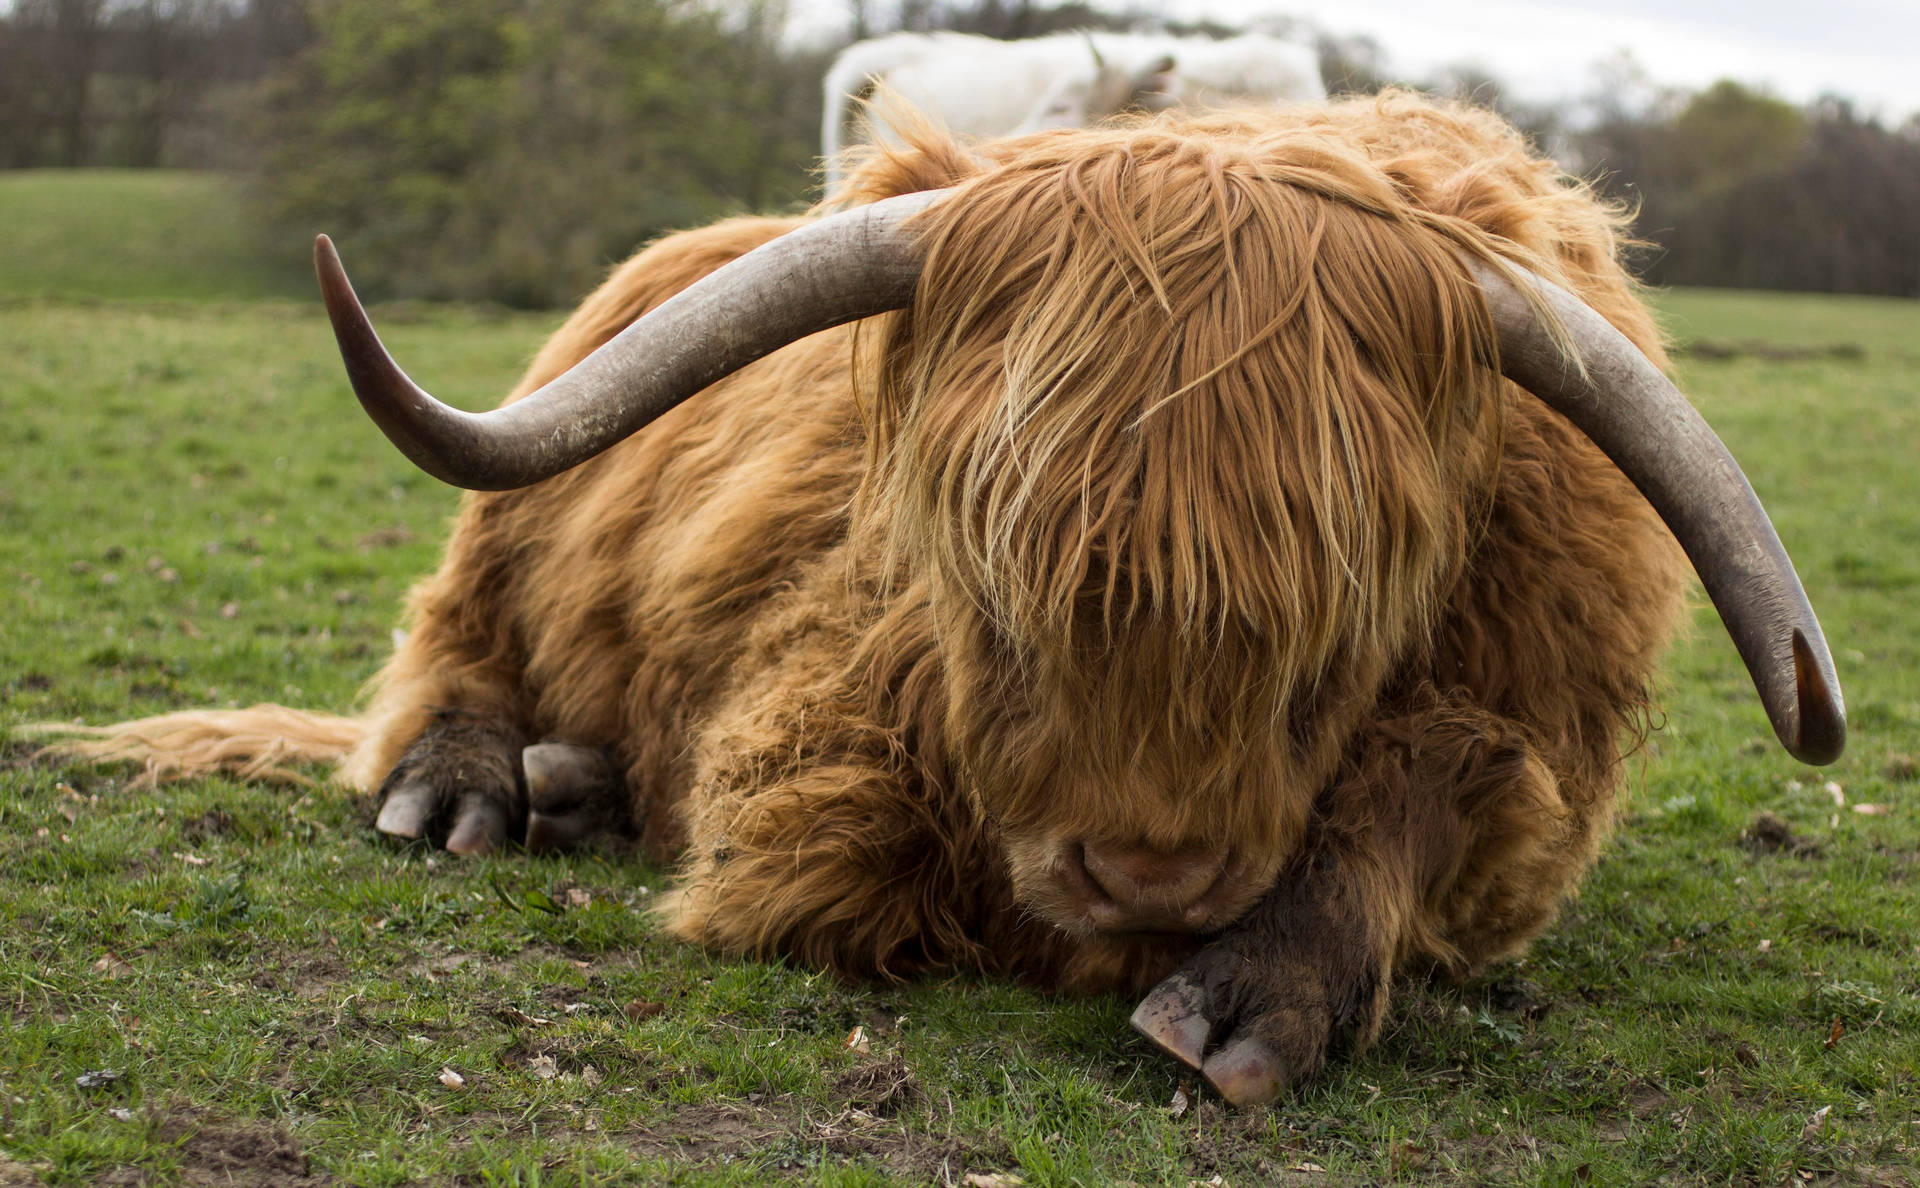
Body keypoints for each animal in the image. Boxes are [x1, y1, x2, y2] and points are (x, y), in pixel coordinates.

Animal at [67, 97, 1843, 1113]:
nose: (1149, 867)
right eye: (996, 598)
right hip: (512, 512)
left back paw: (573, 786)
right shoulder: (820, 723)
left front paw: (1247, 1000)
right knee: (453, 644)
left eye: (1334, 647)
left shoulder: (1529, 761)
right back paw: (474, 793)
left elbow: (1437, 780)